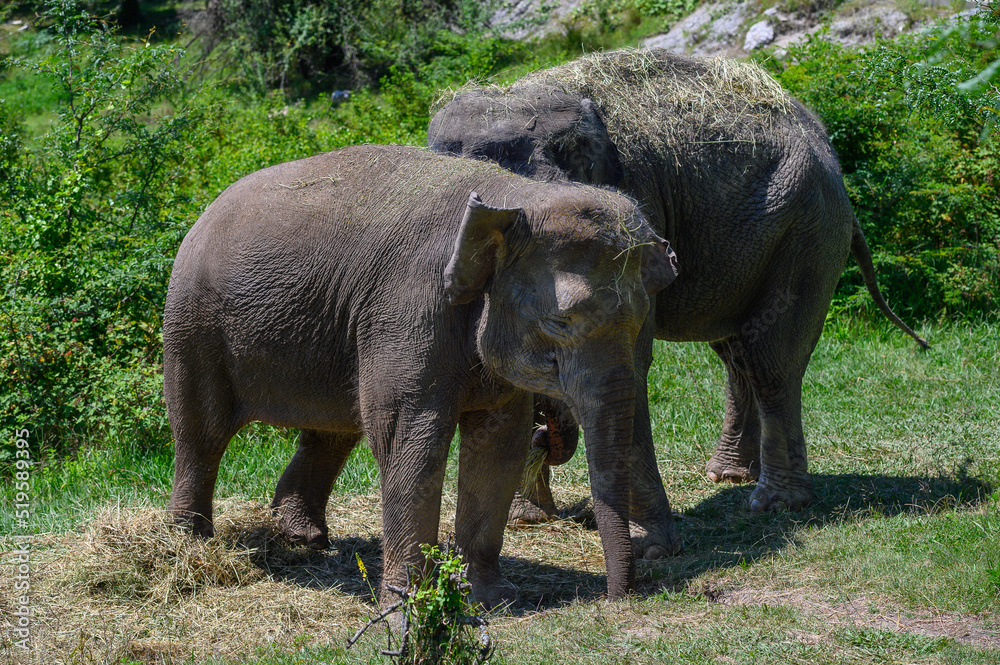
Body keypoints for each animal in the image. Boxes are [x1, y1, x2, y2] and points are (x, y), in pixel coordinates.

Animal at [163, 144, 679, 607]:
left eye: (640, 322)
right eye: (560, 322)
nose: (619, 598)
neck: (516, 199)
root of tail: (206, 210)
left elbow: (499, 442)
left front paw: (491, 599)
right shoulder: (408, 311)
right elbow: (411, 438)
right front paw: (407, 599)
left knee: (331, 433)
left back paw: (302, 539)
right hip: (193, 321)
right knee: (201, 431)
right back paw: (188, 542)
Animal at [428, 49, 928, 556]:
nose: (546, 434)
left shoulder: (632, 218)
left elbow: (629, 359)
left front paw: (649, 549)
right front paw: (525, 519)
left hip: (807, 228)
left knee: (771, 360)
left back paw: (774, 503)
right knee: (736, 352)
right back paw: (729, 475)